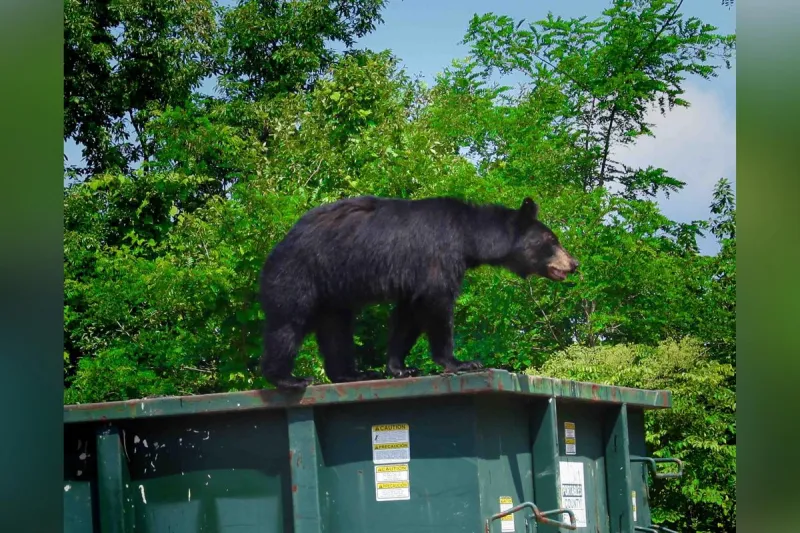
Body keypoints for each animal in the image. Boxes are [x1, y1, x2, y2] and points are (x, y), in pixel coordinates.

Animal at [258, 195, 578, 391]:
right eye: (552, 240)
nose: (574, 264)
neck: (468, 236)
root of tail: (279, 245)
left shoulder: (412, 277)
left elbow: (407, 315)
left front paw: (399, 367)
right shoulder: (438, 256)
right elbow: (437, 303)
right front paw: (460, 362)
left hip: (333, 291)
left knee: (336, 328)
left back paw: (353, 373)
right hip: (299, 274)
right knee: (288, 323)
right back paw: (288, 378)